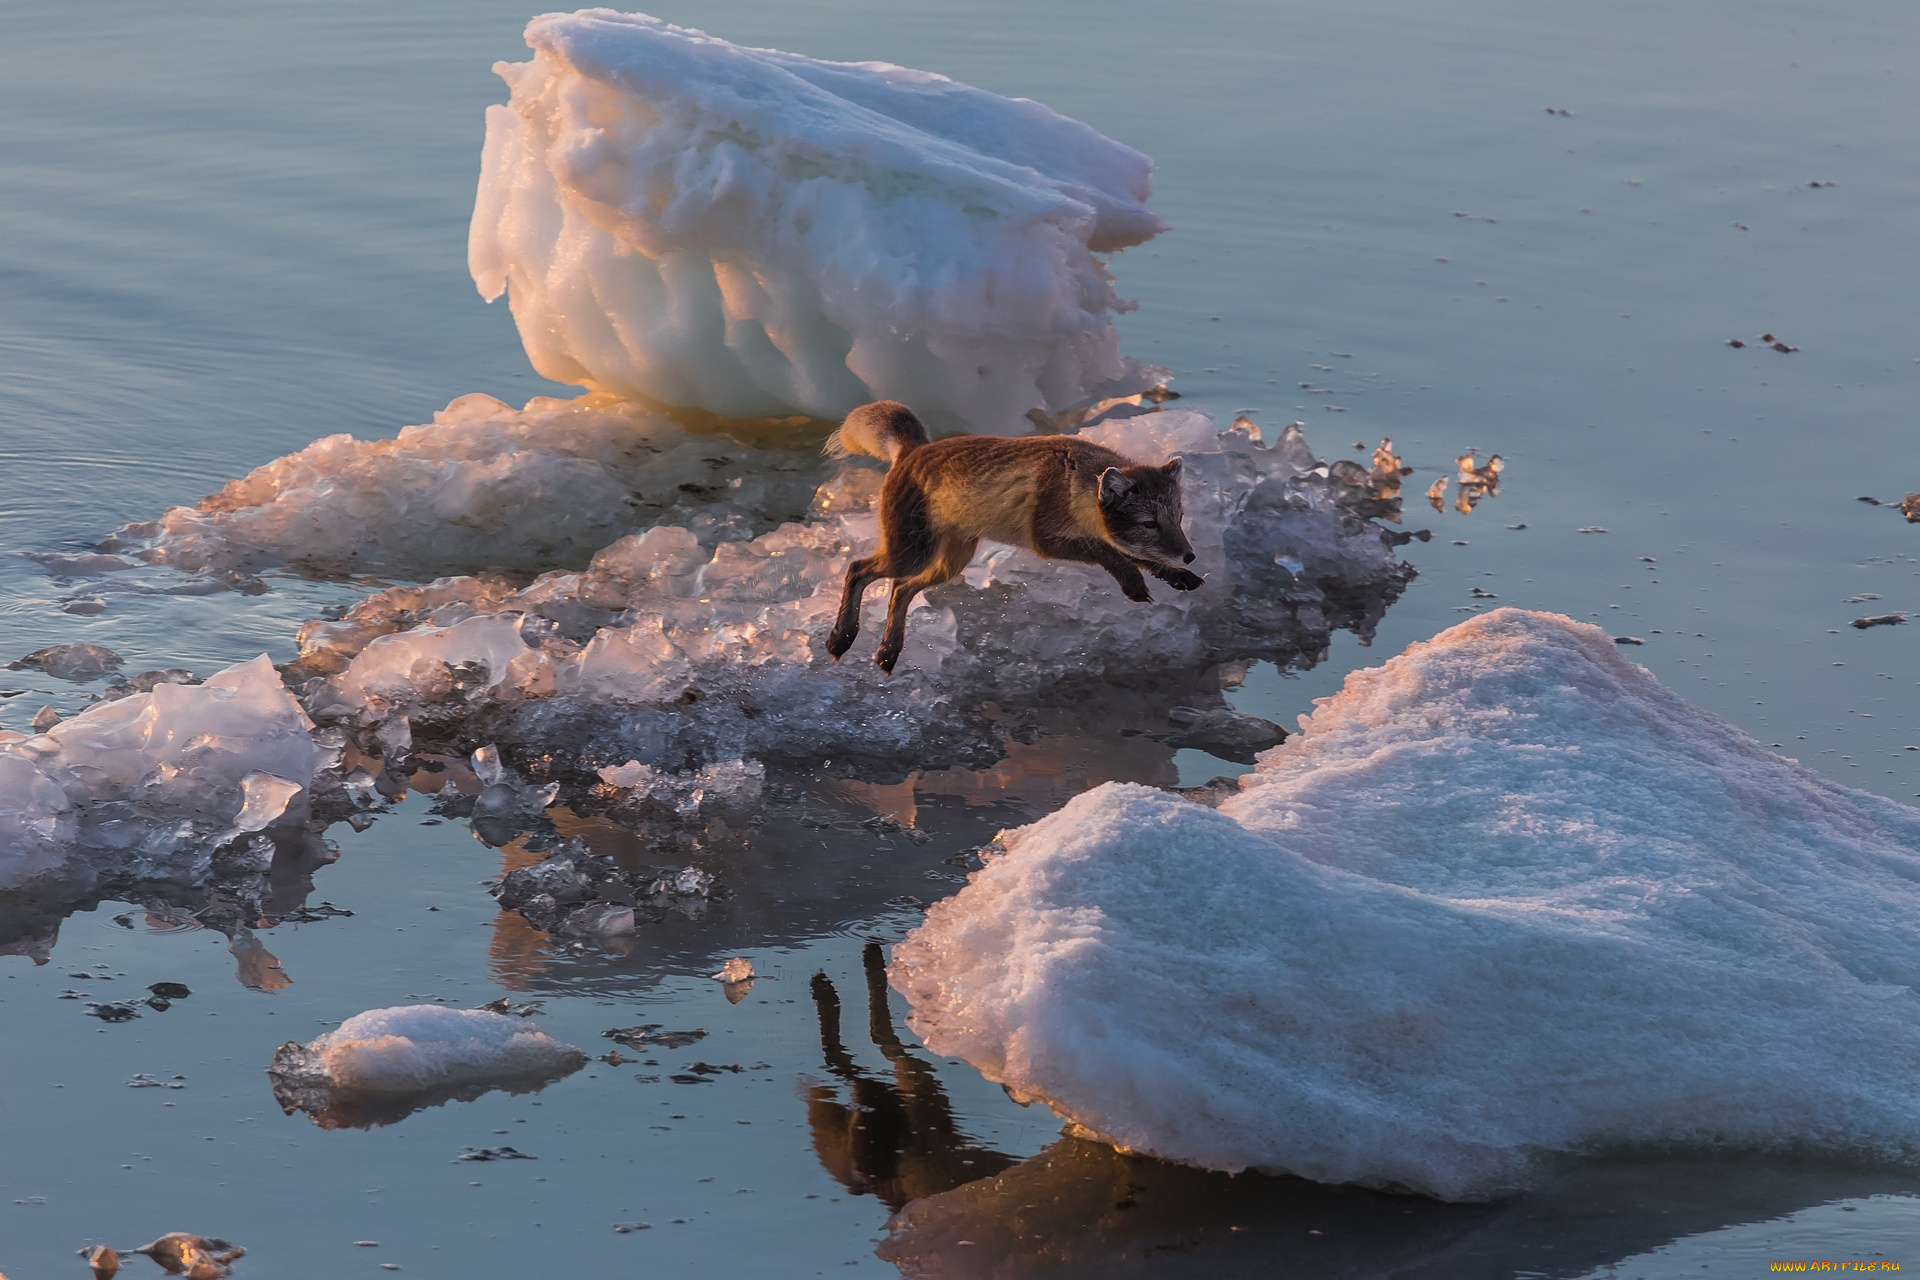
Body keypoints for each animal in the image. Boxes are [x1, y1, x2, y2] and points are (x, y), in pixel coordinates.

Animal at [821, 404, 1198, 675]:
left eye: (1178, 519)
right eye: (1150, 524)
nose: (1190, 555)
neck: (1073, 481)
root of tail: (915, 449)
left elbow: (1136, 555)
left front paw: (1176, 575)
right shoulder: (1046, 540)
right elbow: (1108, 552)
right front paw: (1133, 582)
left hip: (948, 563)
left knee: (900, 589)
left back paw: (888, 651)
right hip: (912, 553)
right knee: (858, 569)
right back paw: (842, 637)